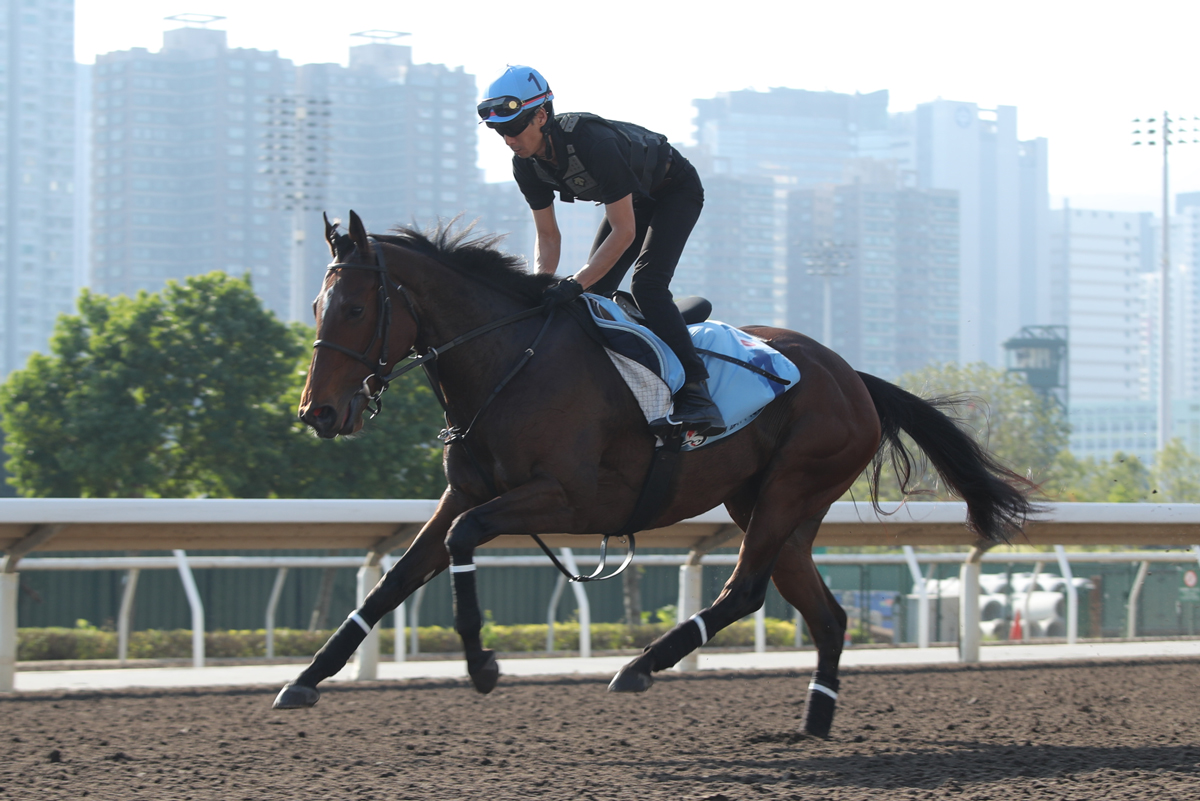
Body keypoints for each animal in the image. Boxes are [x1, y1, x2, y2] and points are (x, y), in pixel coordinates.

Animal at [274, 212, 1032, 738]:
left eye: (356, 308)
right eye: (315, 307)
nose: (318, 411)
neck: (508, 361)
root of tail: (854, 377)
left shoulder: (566, 497)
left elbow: (462, 538)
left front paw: (482, 662)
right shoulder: (468, 489)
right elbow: (395, 580)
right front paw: (305, 679)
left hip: (792, 485)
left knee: (745, 590)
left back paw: (638, 667)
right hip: (771, 504)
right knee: (827, 613)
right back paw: (813, 722)